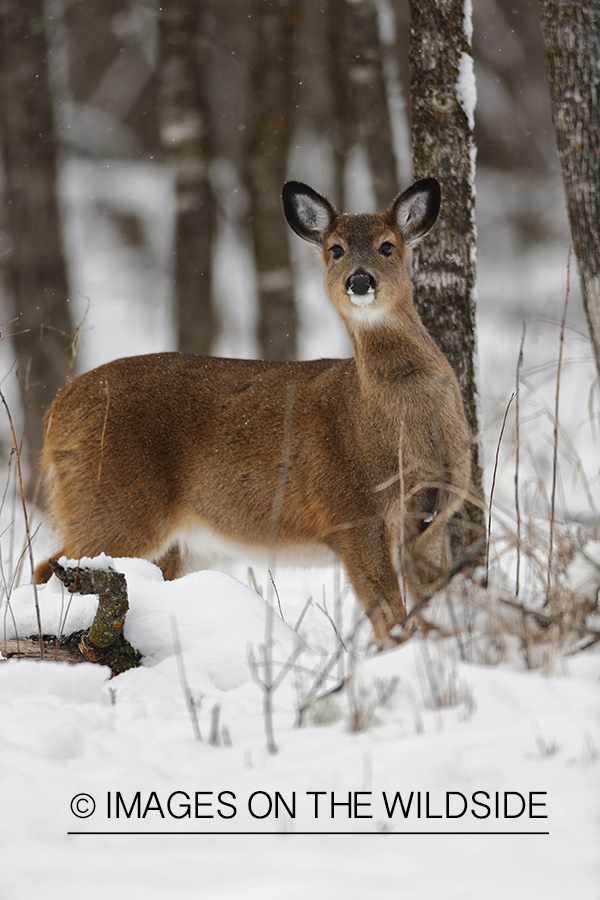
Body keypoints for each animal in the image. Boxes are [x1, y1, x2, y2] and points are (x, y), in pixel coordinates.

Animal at [35, 178, 472, 640]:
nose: (359, 280)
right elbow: (389, 615)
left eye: (387, 245)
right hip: (112, 501)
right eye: (335, 249)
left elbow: (433, 598)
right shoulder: (350, 511)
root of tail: (57, 409)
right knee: (52, 566)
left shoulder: (436, 513)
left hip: (176, 541)